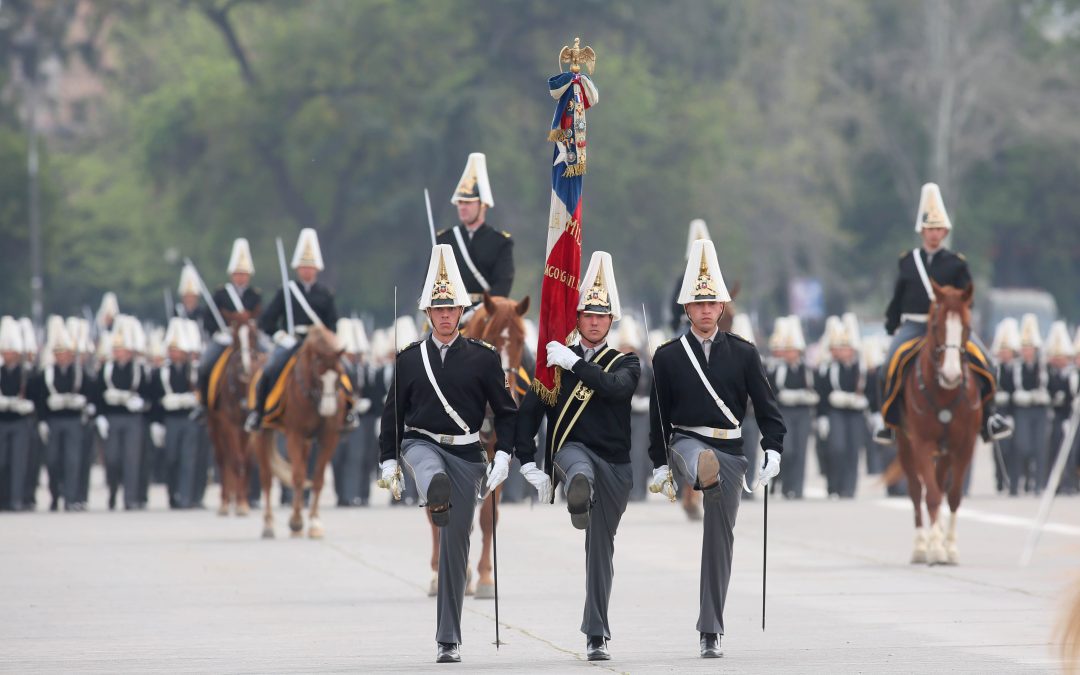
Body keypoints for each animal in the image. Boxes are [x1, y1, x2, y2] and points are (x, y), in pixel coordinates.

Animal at [206, 311, 265, 516]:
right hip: (215, 426)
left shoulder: (249, 427)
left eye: (254, 335)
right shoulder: (228, 424)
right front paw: (236, 503)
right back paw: (225, 502)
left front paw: (242, 503)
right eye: (235, 337)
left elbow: (246, 461)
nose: (245, 369)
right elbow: (235, 459)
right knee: (223, 459)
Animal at [251, 324, 345, 540]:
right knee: (267, 478)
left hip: (307, 442)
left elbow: (317, 479)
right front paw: (295, 521)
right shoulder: (294, 435)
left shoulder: (329, 438)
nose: (329, 409)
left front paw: (314, 522)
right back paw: (268, 524)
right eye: (319, 375)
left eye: (339, 375)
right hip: (262, 433)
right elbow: (299, 476)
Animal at [425, 291, 527, 596]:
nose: (506, 397)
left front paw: (484, 578)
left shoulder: (496, 456)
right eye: (492, 336)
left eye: (521, 340)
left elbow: (487, 518)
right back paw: (436, 574)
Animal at [889, 280, 984, 565]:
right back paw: (922, 546)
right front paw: (935, 548)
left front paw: (949, 547)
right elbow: (929, 495)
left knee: (941, 486)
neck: (945, 394)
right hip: (907, 446)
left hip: (944, 452)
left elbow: (952, 496)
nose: (951, 375)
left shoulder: (964, 447)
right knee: (916, 490)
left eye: (967, 327)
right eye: (935, 326)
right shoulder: (921, 444)